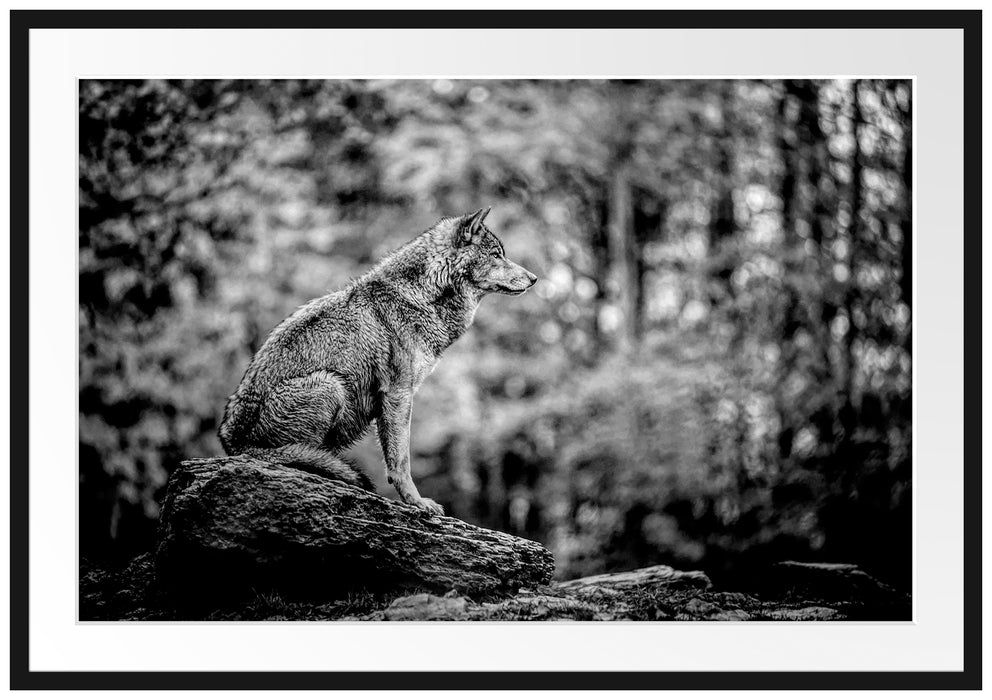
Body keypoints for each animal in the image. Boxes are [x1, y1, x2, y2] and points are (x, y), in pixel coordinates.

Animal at [221, 208, 540, 516]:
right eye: (496, 254)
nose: (535, 278)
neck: (421, 296)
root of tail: (233, 443)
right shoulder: (398, 394)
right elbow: (401, 460)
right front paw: (417, 502)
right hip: (330, 385)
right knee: (300, 456)